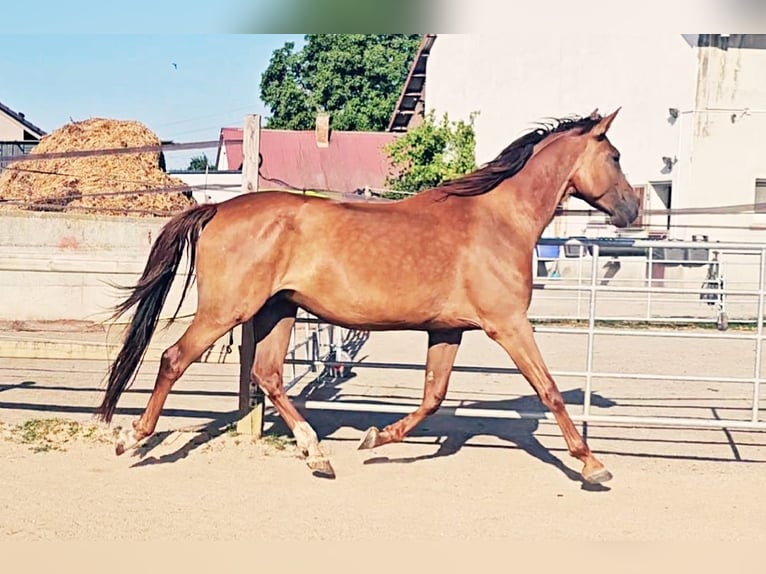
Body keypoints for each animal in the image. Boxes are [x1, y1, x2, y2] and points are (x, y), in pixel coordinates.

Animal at [96, 108, 639, 484]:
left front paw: (375, 438)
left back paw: (317, 455)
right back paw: (131, 439)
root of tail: (218, 209)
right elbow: (548, 390)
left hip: (278, 310)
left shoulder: (448, 330)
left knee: (268, 375)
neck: (496, 220)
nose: (632, 210)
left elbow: (433, 397)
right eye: (614, 157)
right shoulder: (507, 324)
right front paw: (592, 464)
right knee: (173, 358)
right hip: (227, 310)